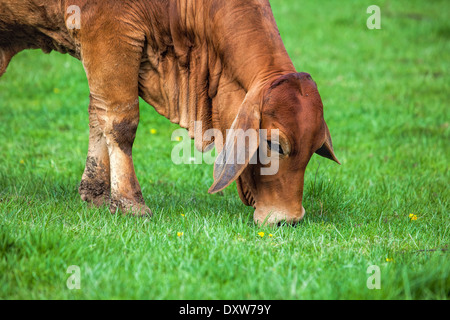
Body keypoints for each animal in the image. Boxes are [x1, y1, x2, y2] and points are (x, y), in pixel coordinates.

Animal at [0, 0, 338, 225]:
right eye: (274, 144)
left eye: (313, 151)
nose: (289, 219)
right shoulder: (108, 31)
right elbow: (120, 122)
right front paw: (131, 203)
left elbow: (97, 116)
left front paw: (97, 194)